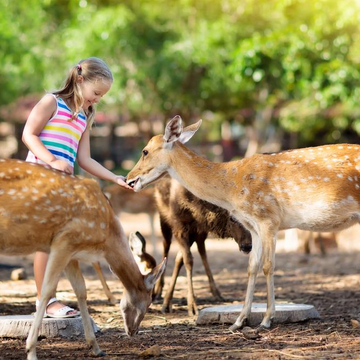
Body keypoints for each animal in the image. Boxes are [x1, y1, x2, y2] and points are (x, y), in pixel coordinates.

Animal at [0, 160, 166, 360]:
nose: (133, 331)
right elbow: (47, 289)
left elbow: (81, 290)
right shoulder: (65, 240)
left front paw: (95, 347)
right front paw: (31, 351)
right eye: (148, 302)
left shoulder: (72, 252)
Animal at [153, 176, 252, 316]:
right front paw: (192, 306)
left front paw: (169, 301)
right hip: (164, 218)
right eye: (232, 218)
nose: (247, 246)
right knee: (166, 246)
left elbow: (184, 258)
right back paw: (158, 290)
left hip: (197, 233)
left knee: (198, 251)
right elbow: (188, 260)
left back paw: (216, 292)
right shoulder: (179, 226)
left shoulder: (198, 228)